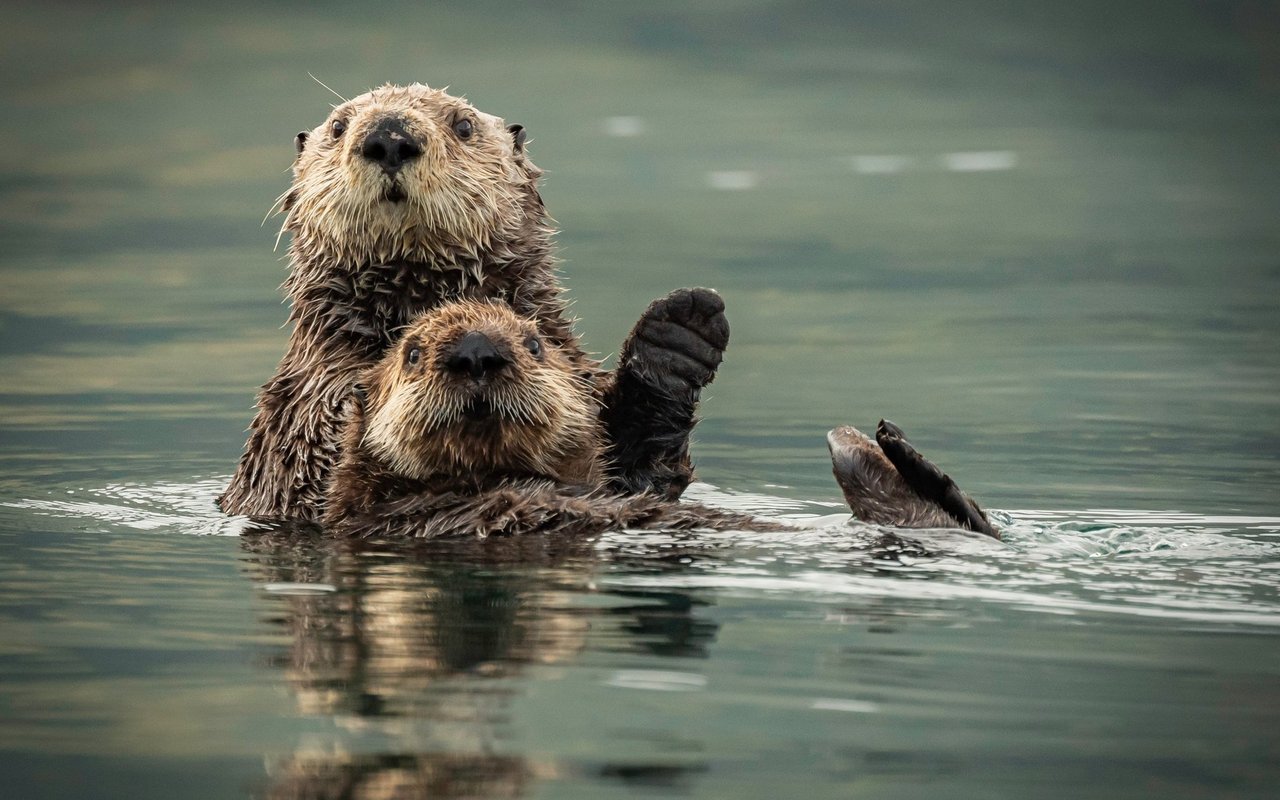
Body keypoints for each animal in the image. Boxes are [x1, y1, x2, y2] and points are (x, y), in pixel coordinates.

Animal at [215, 84, 727, 522]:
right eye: (339, 126)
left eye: (463, 125)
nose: (389, 137)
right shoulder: (304, 410)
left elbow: (638, 473)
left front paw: (678, 334)